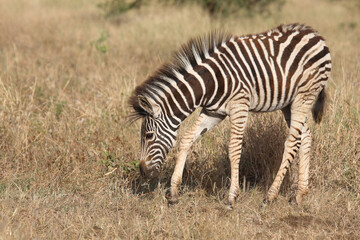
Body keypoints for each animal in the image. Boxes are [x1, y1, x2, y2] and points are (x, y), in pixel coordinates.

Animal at [129, 23, 332, 209]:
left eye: (148, 136)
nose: (143, 172)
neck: (210, 83)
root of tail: (314, 34)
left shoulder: (239, 106)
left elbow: (234, 149)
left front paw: (232, 197)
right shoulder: (213, 112)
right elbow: (187, 138)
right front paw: (173, 192)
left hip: (304, 96)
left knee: (291, 142)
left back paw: (270, 196)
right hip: (289, 103)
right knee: (305, 136)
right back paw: (299, 195)